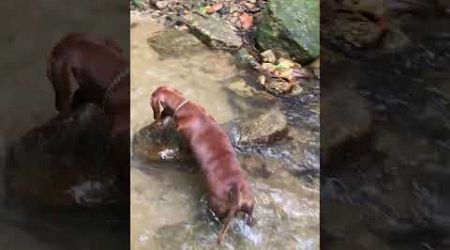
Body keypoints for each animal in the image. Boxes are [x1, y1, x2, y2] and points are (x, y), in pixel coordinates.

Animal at [151, 86, 255, 244]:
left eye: (151, 100)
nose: (154, 118)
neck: (184, 106)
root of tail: (236, 188)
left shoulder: (184, 144)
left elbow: (178, 151)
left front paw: (166, 152)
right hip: (249, 207)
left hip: (215, 207)